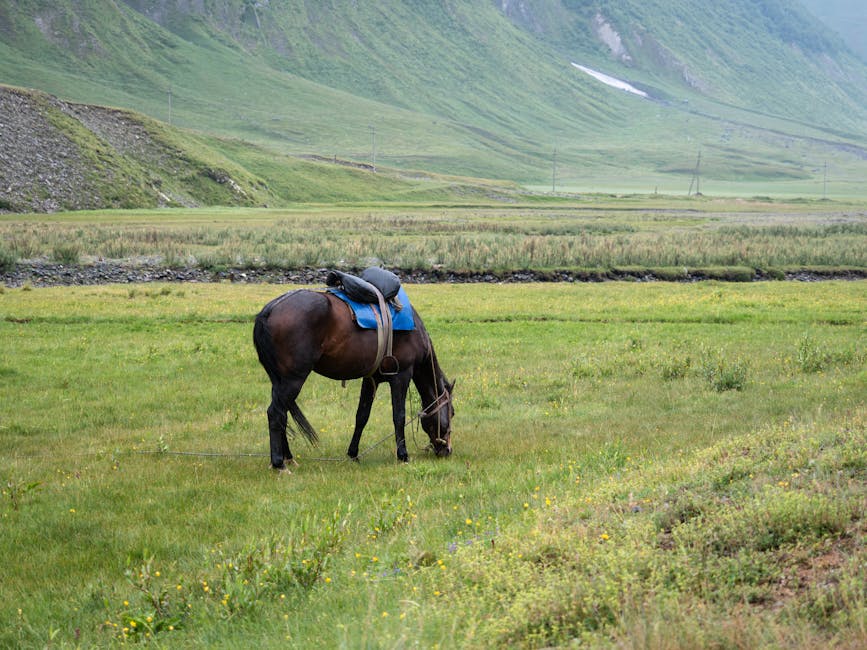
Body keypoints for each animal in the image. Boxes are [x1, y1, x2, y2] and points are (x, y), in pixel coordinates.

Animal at [251, 288, 454, 466]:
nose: (447, 450)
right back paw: (279, 463)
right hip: (293, 380)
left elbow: (362, 416)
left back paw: (288, 458)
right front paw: (403, 455)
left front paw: (353, 454)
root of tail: (271, 309)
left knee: (282, 414)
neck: (415, 331)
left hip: (279, 383)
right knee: (275, 413)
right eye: (452, 412)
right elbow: (399, 416)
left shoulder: (371, 380)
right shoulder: (401, 376)